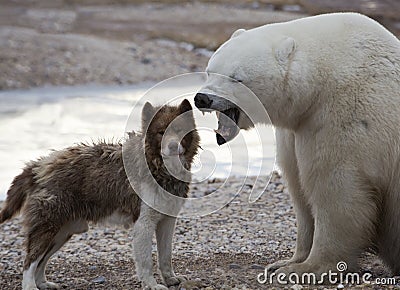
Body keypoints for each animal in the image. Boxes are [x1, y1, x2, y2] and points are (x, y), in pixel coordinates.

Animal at [0, 99, 200, 290]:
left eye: (179, 130)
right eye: (161, 132)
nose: (172, 146)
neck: (156, 167)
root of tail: (38, 165)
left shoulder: (167, 221)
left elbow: (165, 256)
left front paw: (171, 279)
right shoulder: (144, 224)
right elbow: (146, 262)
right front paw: (151, 284)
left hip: (62, 232)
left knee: (41, 261)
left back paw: (42, 283)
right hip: (48, 226)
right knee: (30, 261)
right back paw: (30, 286)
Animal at [194, 13, 400, 276]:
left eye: (236, 78)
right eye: (210, 71)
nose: (202, 98)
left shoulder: (348, 118)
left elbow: (336, 190)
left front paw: (309, 267)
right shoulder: (297, 130)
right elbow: (300, 190)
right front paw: (286, 261)